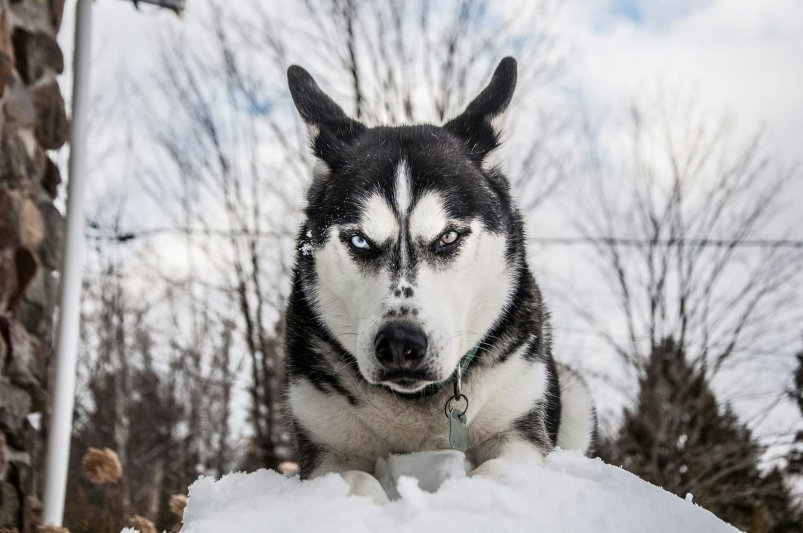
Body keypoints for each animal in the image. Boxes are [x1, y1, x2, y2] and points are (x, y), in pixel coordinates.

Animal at [286, 58, 592, 502]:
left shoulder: (517, 432)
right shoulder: (328, 447)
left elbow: (498, 472)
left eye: (448, 237)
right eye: (359, 240)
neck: (416, 406)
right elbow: (353, 480)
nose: (400, 343)